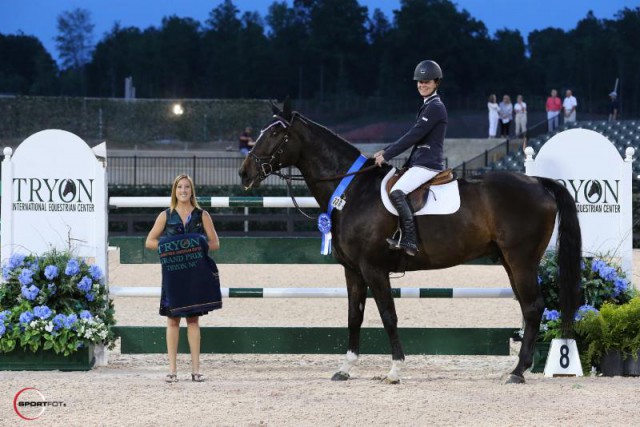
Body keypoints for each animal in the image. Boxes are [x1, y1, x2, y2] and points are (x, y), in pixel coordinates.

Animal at [238, 100, 584, 384]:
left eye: (275, 133)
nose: (244, 173)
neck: (353, 191)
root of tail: (537, 182)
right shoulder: (353, 270)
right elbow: (354, 316)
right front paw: (345, 368)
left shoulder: (374, 269)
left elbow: (388, 316)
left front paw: (395, 370)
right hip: (510, 263)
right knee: (528, 308)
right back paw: (515, 369)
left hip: (522, 261)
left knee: (533, 307)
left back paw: (518, 372)